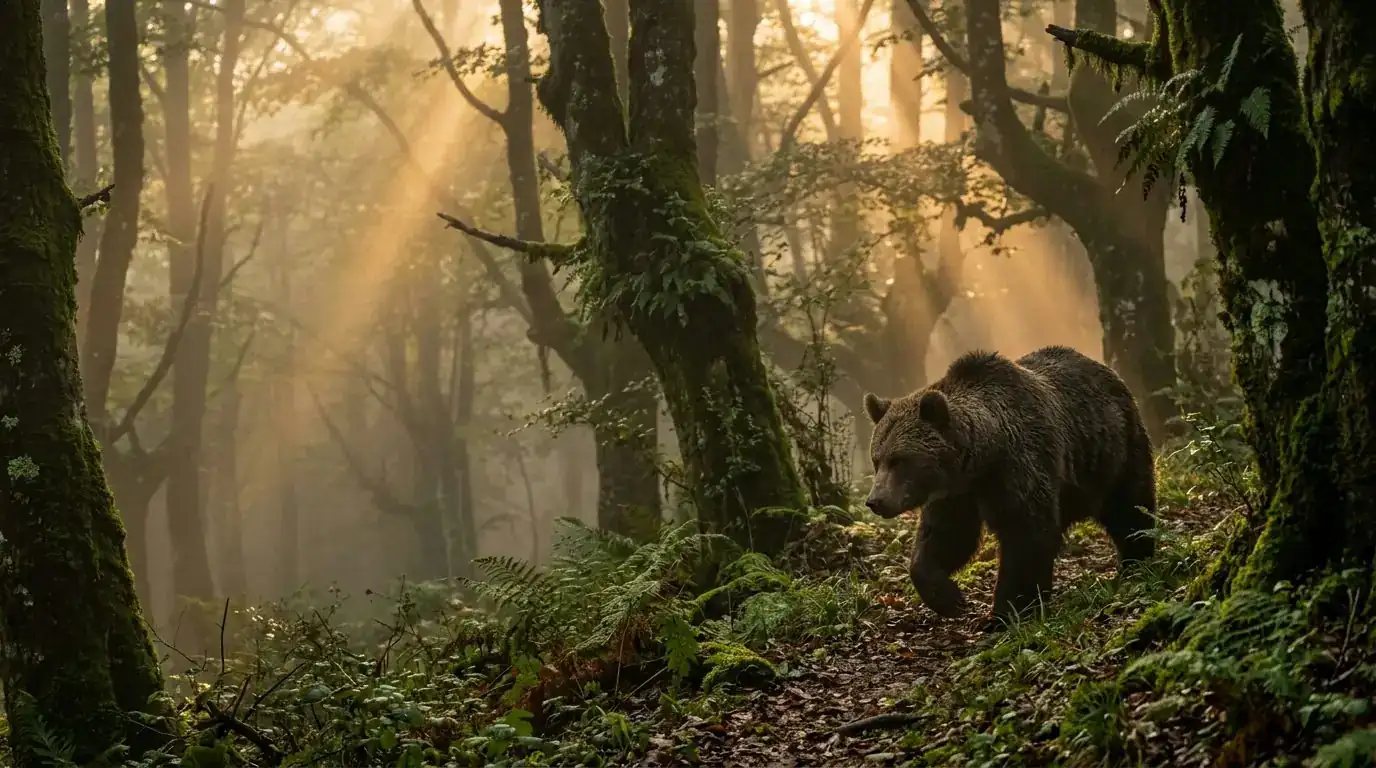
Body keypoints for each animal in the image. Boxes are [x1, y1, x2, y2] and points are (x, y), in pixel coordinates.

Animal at [862, 345, 1157, 629]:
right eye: (877, 460)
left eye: (899, 460)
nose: (875, 501)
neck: (982, 459)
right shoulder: (957, 493)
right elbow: (946, 536)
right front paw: (948, 598)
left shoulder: (1019, 468)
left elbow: (1026, 535)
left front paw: (1002, 613)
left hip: (1114, 451)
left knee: (1130, 508)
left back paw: (1135, 561)